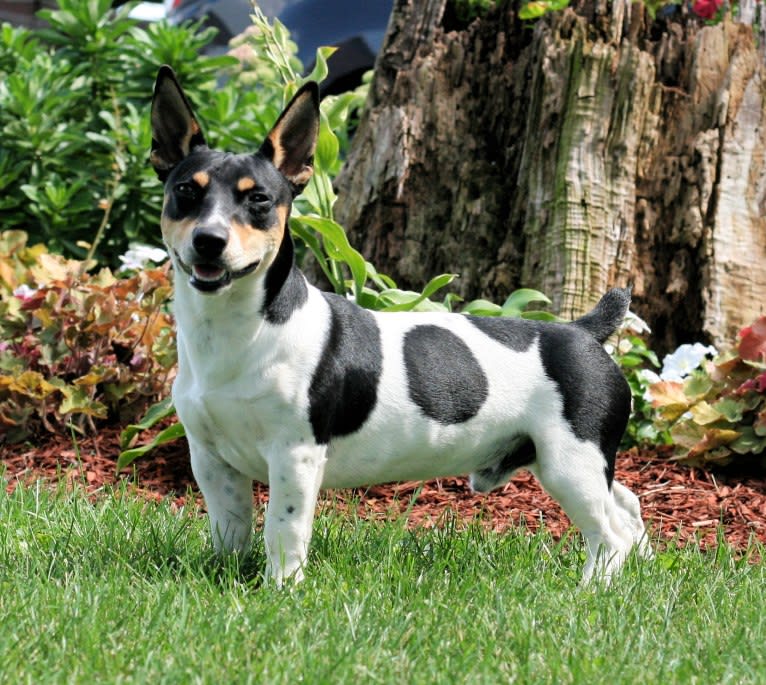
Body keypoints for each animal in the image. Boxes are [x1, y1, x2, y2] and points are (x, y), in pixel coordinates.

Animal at [152, 67, 656, 584]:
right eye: (185, 192)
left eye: (258, 200)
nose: (209, 240)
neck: (237, 330)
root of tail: (583, 330)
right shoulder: (210, 460)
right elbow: (230, 527)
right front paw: (223, 574)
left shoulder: (295, 455)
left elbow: (283, 529)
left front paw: (282, 587)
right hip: (574, 463)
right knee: (626, 506)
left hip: (570, 463)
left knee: (608, 535)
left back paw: (594, 588)